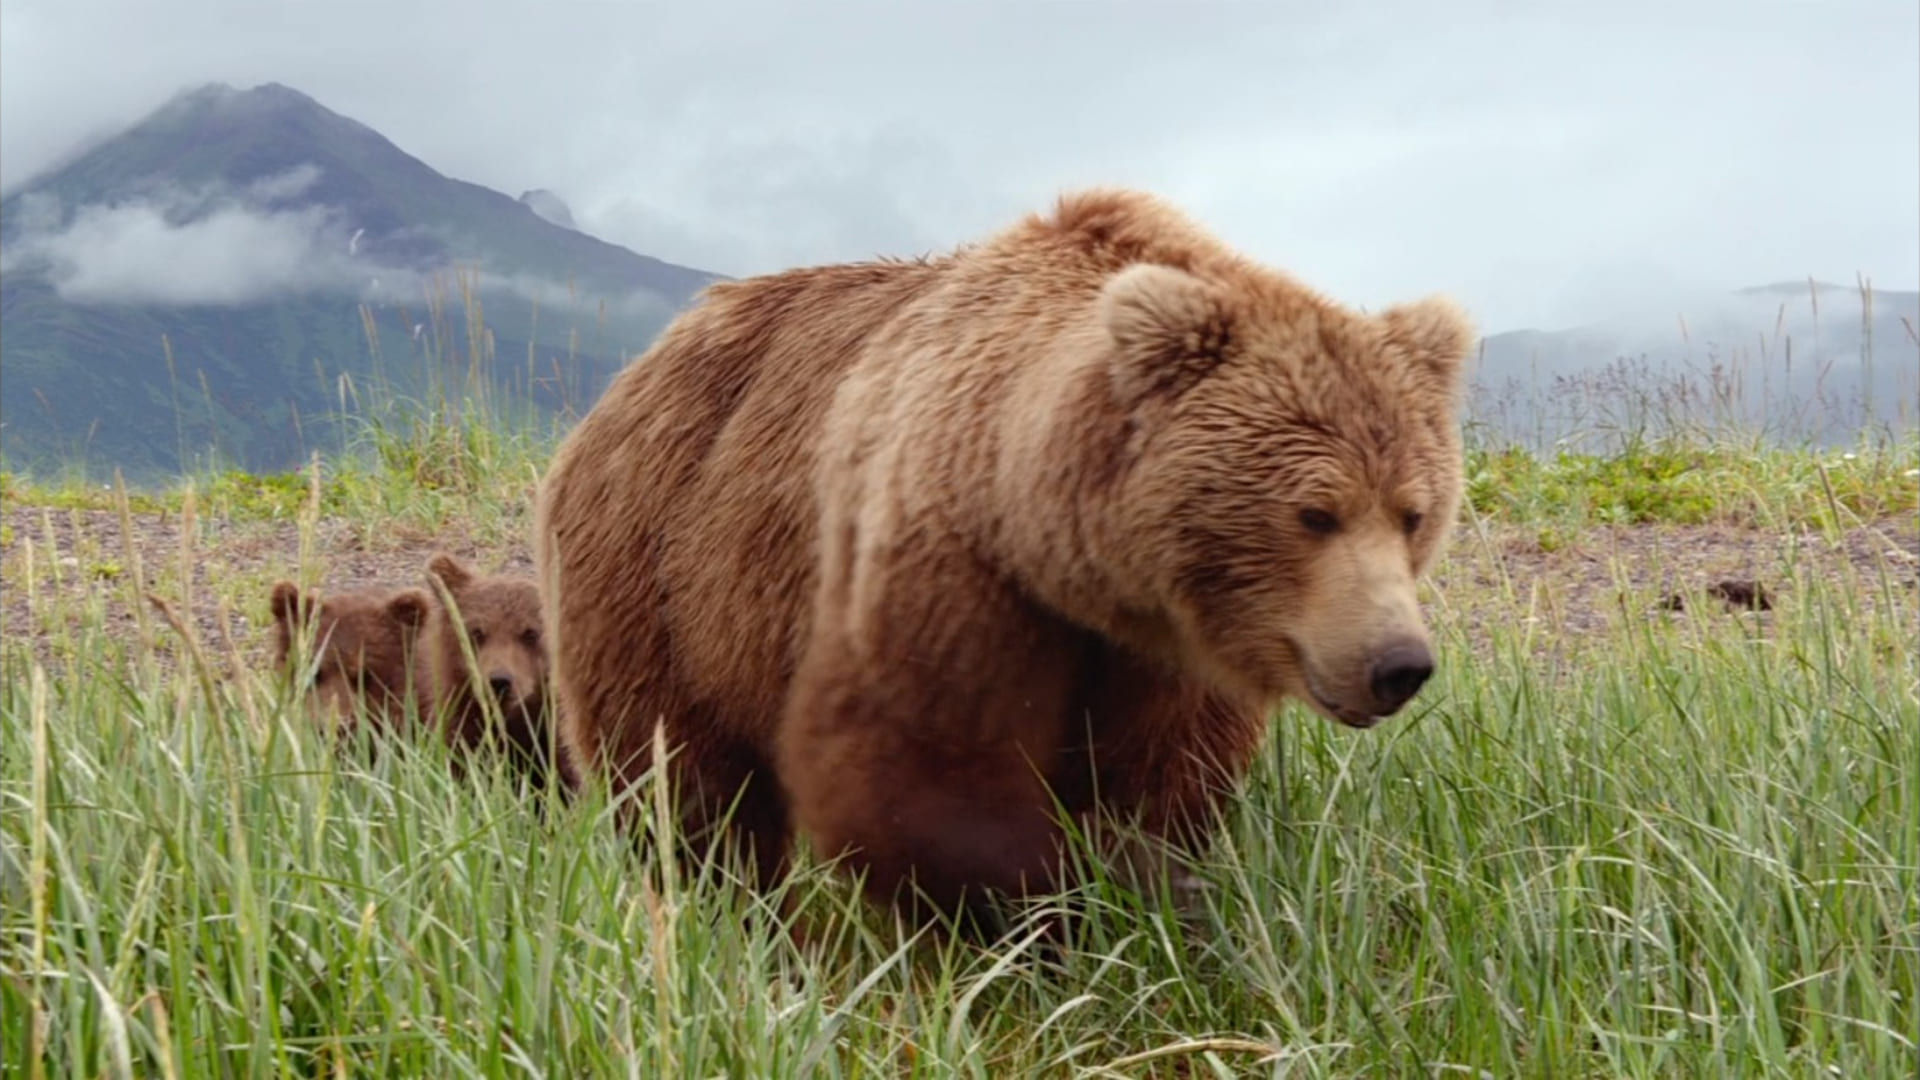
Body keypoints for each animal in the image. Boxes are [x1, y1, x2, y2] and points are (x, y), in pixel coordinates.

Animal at [532, 186, 1475, 933]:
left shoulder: (1166, 658)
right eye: (1315, 512)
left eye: (1413, 513)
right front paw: (1011, 917)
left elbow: (1161, 793)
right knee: (682, 789)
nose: (1396, 663)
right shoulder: (946, 572)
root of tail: (641, 366)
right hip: (663, 575)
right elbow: (920, 779)